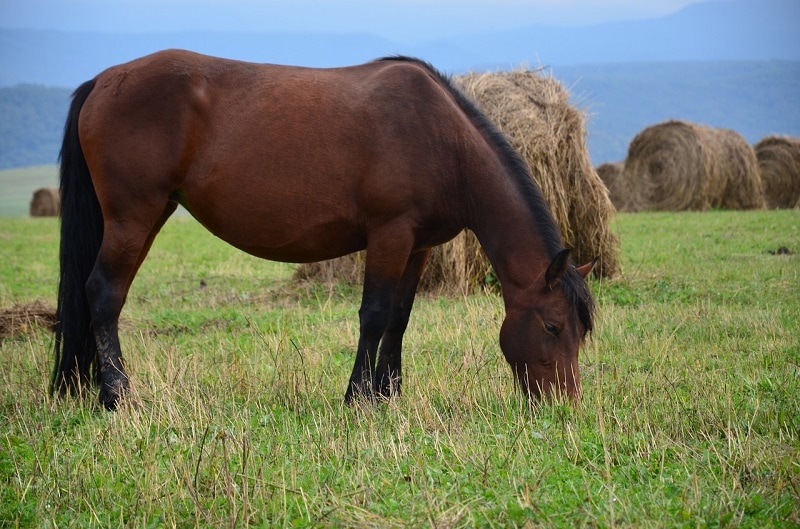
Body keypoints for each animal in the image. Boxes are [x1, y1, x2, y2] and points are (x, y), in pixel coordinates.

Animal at [51, 49, 592, 410]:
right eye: (552, 326)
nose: (564, 404)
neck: (441, 138)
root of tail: (102, 80)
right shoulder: (390, 234)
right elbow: (374, 315)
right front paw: (358, 398)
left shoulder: (418, 246)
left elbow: (400, 318)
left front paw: (389, 394)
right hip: (132, 218)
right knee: (104, 295)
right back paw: (117, 397)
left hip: (148, 215)